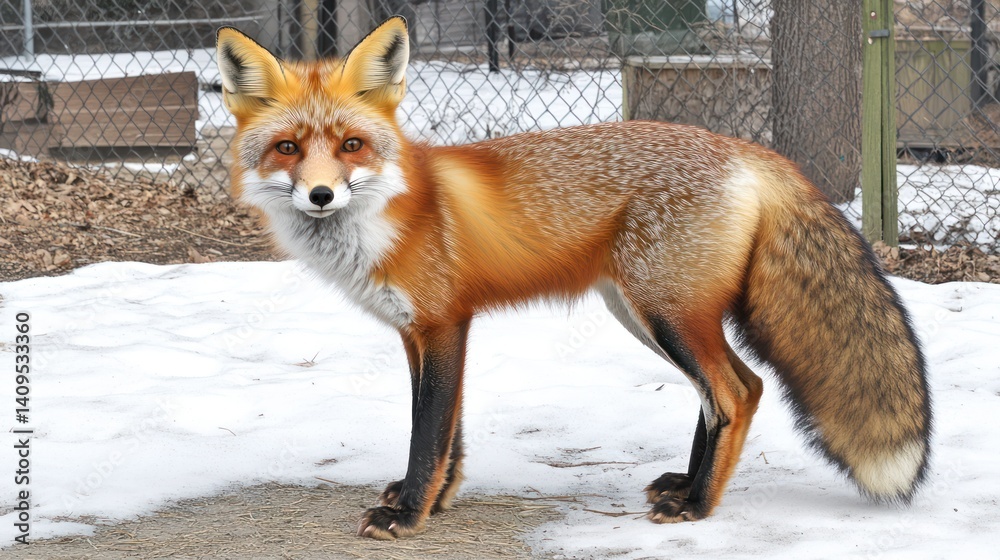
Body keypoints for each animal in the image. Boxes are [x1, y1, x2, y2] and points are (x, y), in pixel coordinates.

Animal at [216, 17, 932, 540]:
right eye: (287, 148)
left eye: (351, 145)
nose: (320, 195)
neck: (392, 213)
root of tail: (751, 151)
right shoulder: (423, 331)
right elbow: (450, 431)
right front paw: (439, 500)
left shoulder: (442, 324)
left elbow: (428, 432)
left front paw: (409, 514)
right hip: (647, 314)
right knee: (732, 389)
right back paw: (686, 486)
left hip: (666, 313)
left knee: (735, 392)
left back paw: (698, 508)